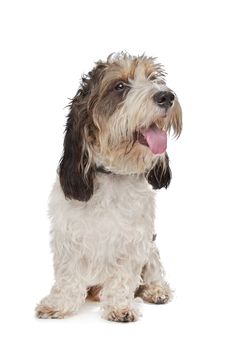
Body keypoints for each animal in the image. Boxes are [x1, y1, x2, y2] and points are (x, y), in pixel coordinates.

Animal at [36, 52, 182, 322]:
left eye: (153, 78)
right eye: (120, 86)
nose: (166, 96)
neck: (114, 175)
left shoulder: (134, 242)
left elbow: (123, 279)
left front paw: (120, 307)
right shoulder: (68, 238)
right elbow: (68, 277)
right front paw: (59, 304)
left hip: (151, 247)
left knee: (153, 270)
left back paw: (156, 290)